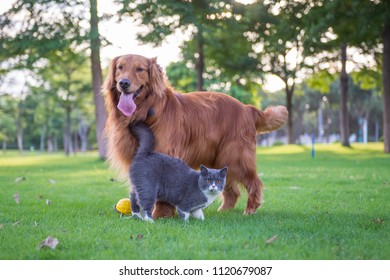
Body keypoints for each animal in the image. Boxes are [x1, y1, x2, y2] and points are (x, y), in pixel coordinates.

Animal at [102, 54, 288, 217]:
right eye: (120, 67)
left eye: (140, 69)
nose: (123, 83)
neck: (147, 110)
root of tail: (247, 108)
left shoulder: (167, 155)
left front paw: (161, 214)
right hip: (220, 159)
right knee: (232, 190)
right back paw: (224, 211)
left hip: (235, 156)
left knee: (254, 182)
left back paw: (250, 209)